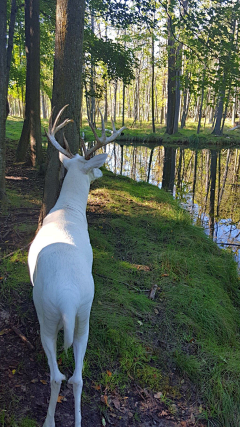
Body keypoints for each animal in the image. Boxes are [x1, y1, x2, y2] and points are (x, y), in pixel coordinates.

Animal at [28, 104, 125, 427]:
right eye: (90, 165)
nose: (101, 171)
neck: (68, 209)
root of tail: (67, 301)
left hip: (58, 314)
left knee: (63, 376)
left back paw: (54, 421)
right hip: (80, 312)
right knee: (72, 377)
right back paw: (67, 420)